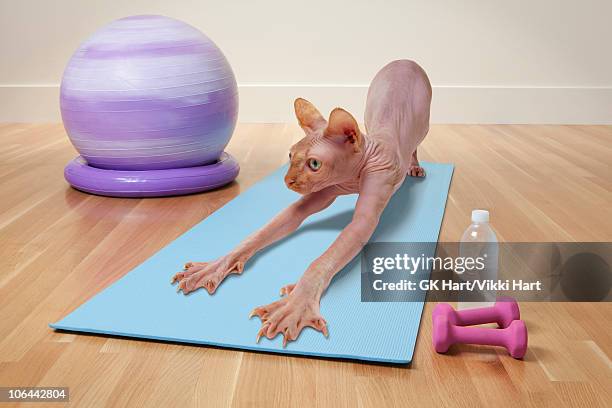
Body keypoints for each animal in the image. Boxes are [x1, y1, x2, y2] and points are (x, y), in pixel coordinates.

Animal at [170, 59, 432, 348]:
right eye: (290, 156)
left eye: (314, 164)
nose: (288, 181)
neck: (354, 173)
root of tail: (405, 61)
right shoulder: (317, 196)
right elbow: (265, 230)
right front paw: (212, 268)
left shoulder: (368, 208)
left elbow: (323, 258)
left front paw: (293, 306)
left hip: (424, 121)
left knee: (417, 143)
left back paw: (414, 166)